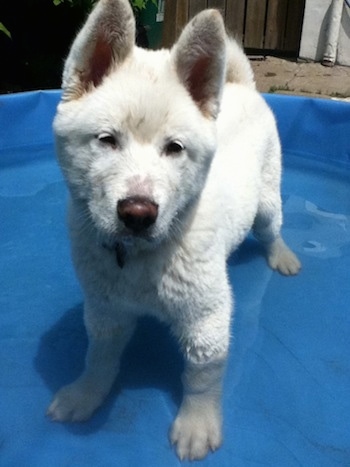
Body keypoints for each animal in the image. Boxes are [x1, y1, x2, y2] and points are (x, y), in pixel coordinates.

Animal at [47, 0, 300, 460]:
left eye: (174, 148)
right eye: (107, 140)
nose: (138, 213)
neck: (140, 258)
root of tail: (239, 85)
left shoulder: (206, 319)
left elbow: (201, 378)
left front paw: (197, 424)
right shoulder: (104, 309)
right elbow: (99, 358)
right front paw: (85, 395)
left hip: (267, 203)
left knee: (272, 229)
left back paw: (282, 256)